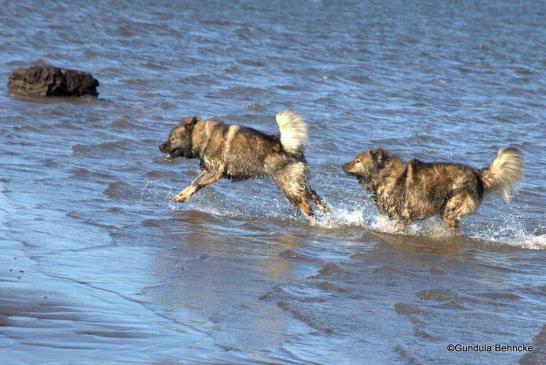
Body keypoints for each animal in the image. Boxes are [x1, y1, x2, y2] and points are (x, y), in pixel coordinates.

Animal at [158, 109, 328, 222]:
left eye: (172, 139)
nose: (159, 147)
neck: (203, 138)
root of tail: (286, 147)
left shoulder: (215, 172)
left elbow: (196, 185)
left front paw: (182, 197)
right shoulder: (207, 170)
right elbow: (191, 184)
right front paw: (180, 196)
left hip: (289, 189)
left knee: (308, 210)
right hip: (301, 185)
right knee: (319, 201)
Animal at [340, 146, 524, 229]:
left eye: (358, 161)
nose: (342, 165)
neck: (384, 176)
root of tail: (478, 174)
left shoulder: (403, 216)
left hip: (451, 209)